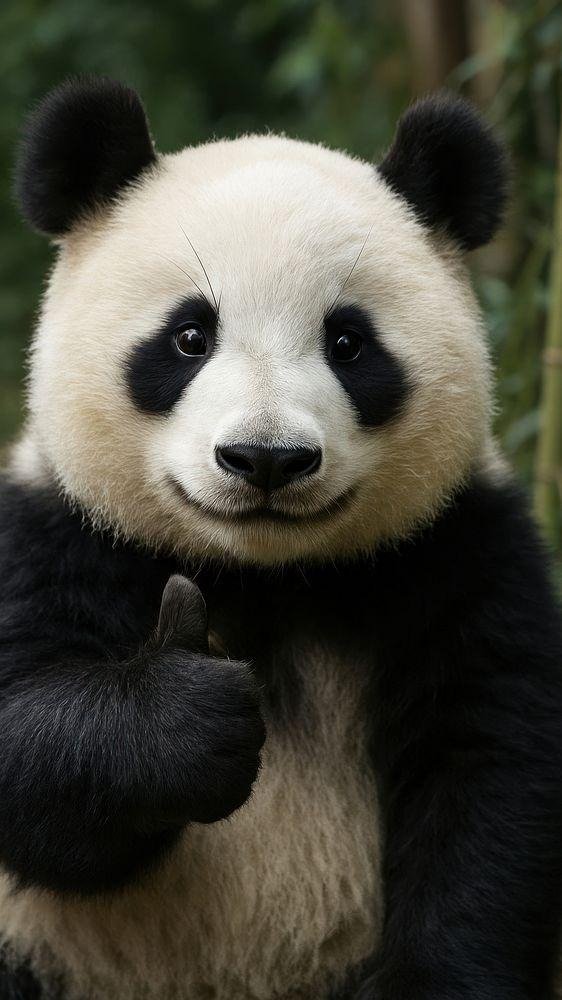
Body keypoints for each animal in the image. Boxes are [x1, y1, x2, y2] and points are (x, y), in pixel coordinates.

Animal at [0, 75, 560, 1000]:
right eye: (190, 336)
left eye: (349, 342)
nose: (266, 459)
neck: (265, 576)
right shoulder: (53, 535)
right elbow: (28, 745)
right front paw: (187, 713)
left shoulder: (461, 551)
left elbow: (491, 778)